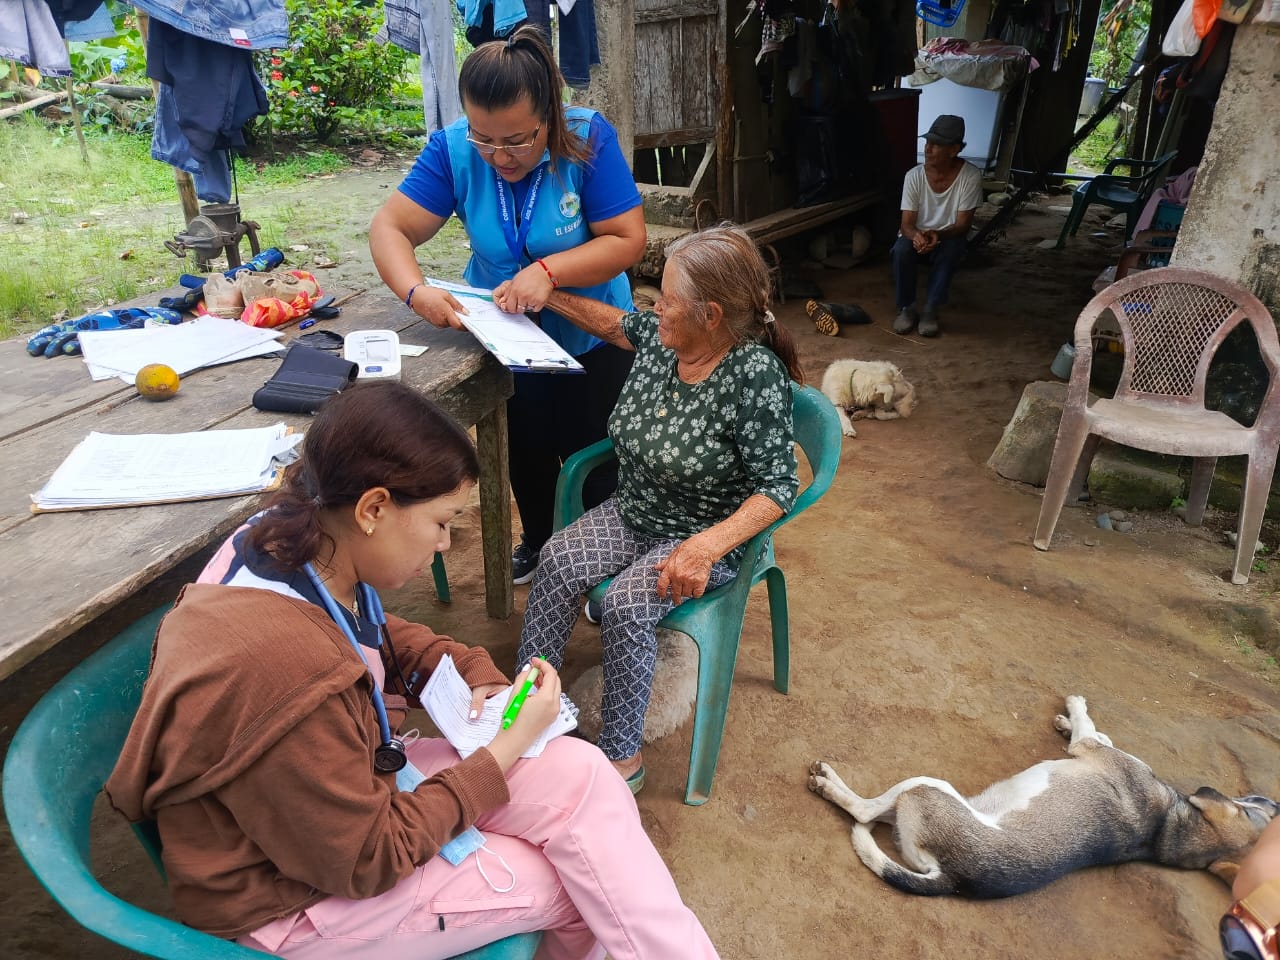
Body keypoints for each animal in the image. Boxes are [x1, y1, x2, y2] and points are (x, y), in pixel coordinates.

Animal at [808, 695, 1278, 898]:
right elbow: (1096, 730)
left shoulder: (1091, 750)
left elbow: (1087, 723)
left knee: (863, 809)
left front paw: (1073, 706)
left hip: (926, 785)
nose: (1273, 801)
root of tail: (955, 879)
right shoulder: (1098, 747)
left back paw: (829, 782)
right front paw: (1063, 721)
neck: (1169, 829)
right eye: (1263, 809)